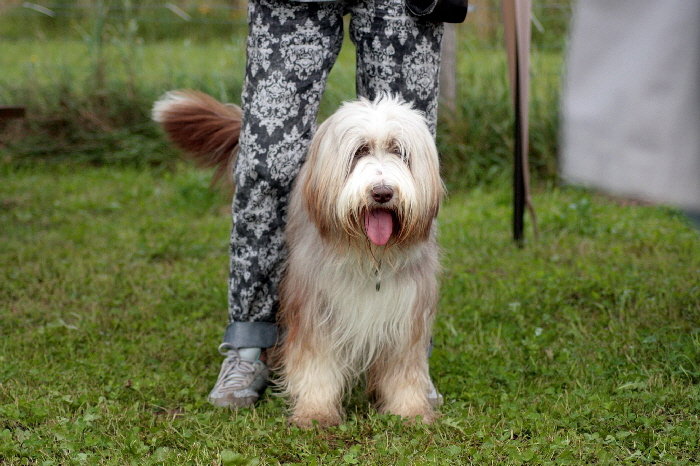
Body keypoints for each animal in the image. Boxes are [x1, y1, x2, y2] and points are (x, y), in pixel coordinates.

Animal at [154, 89, 448, 428]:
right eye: (359, 151)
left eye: (400, 153)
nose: (382, 192)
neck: (367, 257)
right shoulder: (313, 305)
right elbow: (316, 363)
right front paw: (316, 412)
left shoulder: (407, 310)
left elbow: (403, 368)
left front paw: (409, 410)